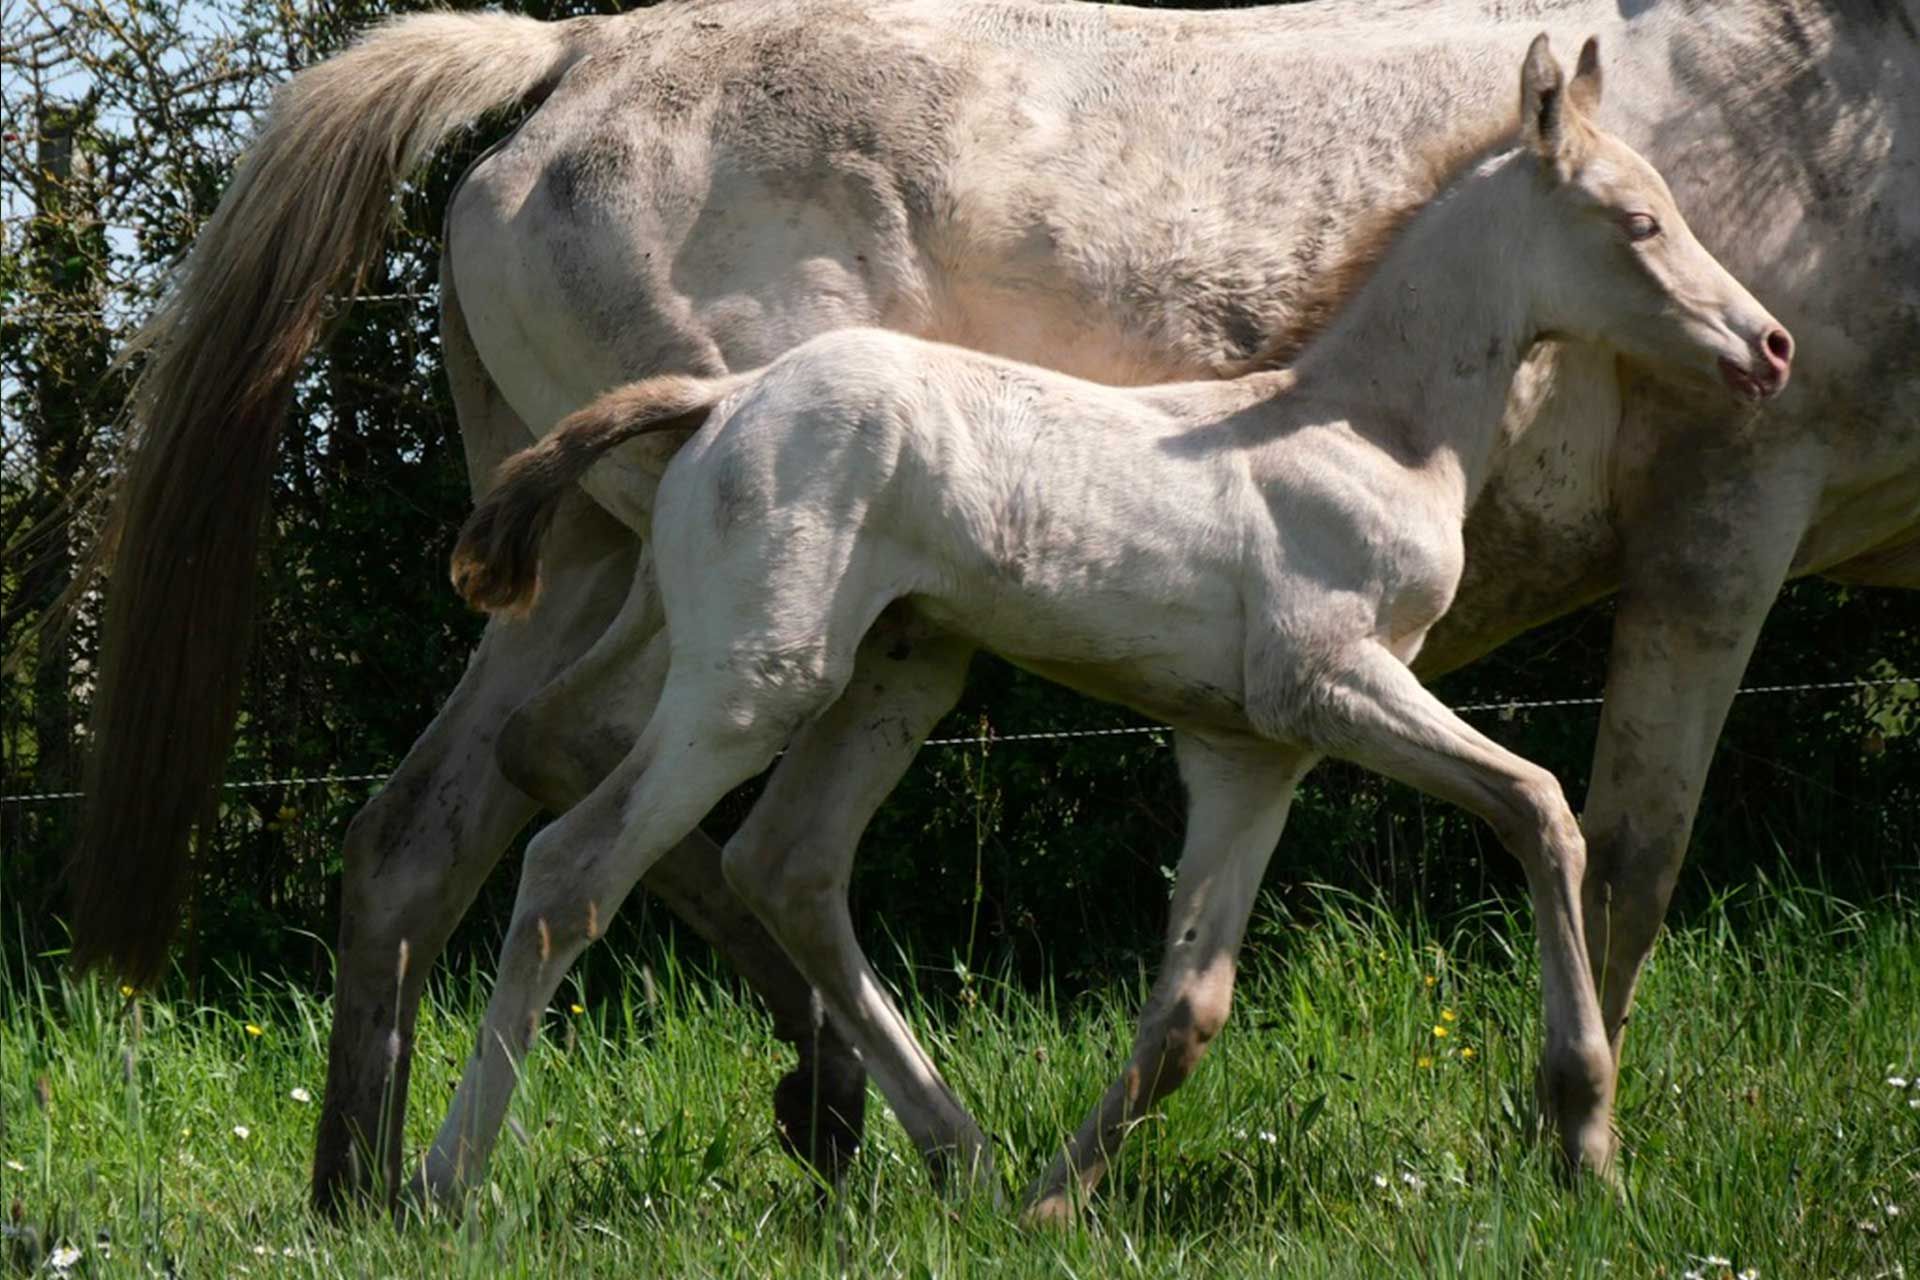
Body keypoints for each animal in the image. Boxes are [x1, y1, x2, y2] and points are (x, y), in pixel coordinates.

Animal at [71, 0, 1920, 1212]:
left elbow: (1190, 1002)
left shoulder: (1252, 747)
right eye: (1639, 218)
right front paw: (1580, 1137)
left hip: (769, 632)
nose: (1764, 347)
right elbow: (1569, 819)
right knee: (569, 854)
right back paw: (472, 1177)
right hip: (760, 671)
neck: (1355, 418)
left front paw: (1061, 1198)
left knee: (535, 835)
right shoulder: (1375, 675)